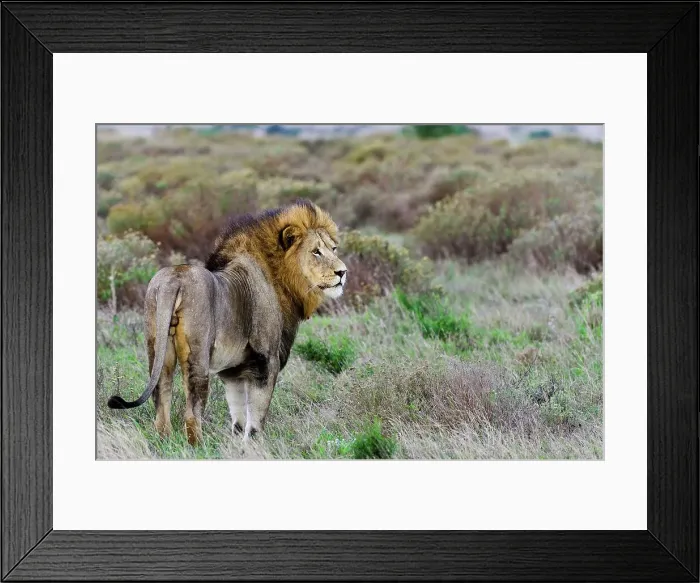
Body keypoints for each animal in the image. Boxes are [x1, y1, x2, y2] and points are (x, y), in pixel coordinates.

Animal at [107, 199, 347, 445]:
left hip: (158, 350)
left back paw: (165, 443)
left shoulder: (233, 371)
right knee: (191, 415)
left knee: (161, 408)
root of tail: (173, 280)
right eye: (316, 251)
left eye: (333, 249)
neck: (280, 279)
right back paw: (199, 448)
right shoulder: (266, 361)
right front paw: (255, 446)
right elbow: (257, 418)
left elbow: (239, 418)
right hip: (197, 358)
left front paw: (237, 443)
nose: (342, 272)